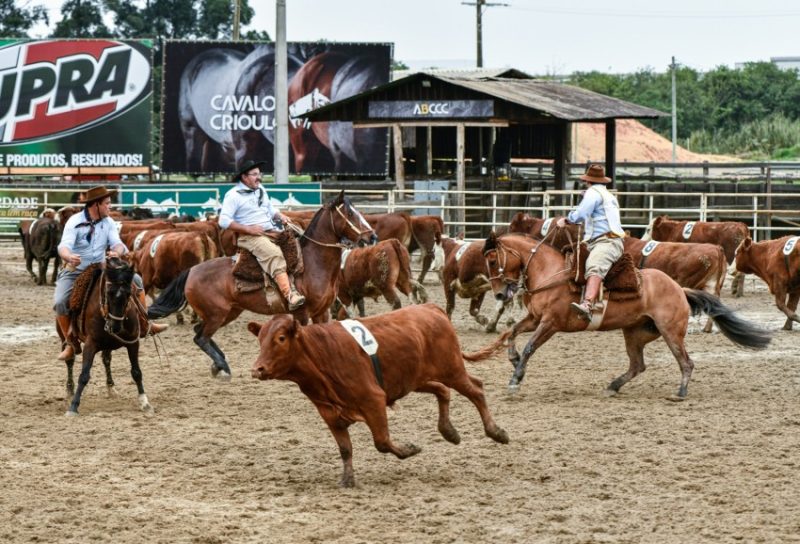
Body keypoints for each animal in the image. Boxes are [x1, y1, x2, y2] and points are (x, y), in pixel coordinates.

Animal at [63, 258, 152, 418]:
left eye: (129, 293)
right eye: (108, 292)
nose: (115, 326)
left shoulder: (133, 342)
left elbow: (136, 372)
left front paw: (144, 402)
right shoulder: (90, 345)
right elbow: (84, 375)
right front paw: (73, 406)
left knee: (106, 360)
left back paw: (111, 387)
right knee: (70, 360)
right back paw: (69, 391)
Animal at [148, 190, 376, 378]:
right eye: (350, 214)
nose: (372, 236)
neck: (312, 263)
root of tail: (191, 272)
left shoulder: (322, 312)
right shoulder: (301, 313)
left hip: (229, 312)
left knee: (199, 332)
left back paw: (218, 365)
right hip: (216, 314)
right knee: (200, 337)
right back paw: (223, 367)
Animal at [247, 304, 510, 486]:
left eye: (280, 338)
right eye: (260, 340)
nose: (257, 369)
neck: (321, 354)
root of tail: (432, 308)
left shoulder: (373, 400)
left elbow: (382, 441)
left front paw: (409, 449)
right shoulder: (330, 414)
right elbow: (345, 449)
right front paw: (347, 479)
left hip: (453, 370)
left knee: (476, 390)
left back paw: (496, 432)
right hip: (418, 380)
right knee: (443, 391)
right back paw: (449, 432)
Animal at [478, 233, 772, 400]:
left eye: (492, 261)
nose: (500, 294)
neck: (550, 273)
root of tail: (679, 288)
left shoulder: (550, 323)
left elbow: (529, 347)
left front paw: (515, 380)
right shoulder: (534, 318)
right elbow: (512, 332)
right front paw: (513, 358)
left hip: (671, 332)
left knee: (686, 362)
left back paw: (680, 393)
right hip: (635, 333)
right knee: (637, 365)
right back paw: (613, 386)